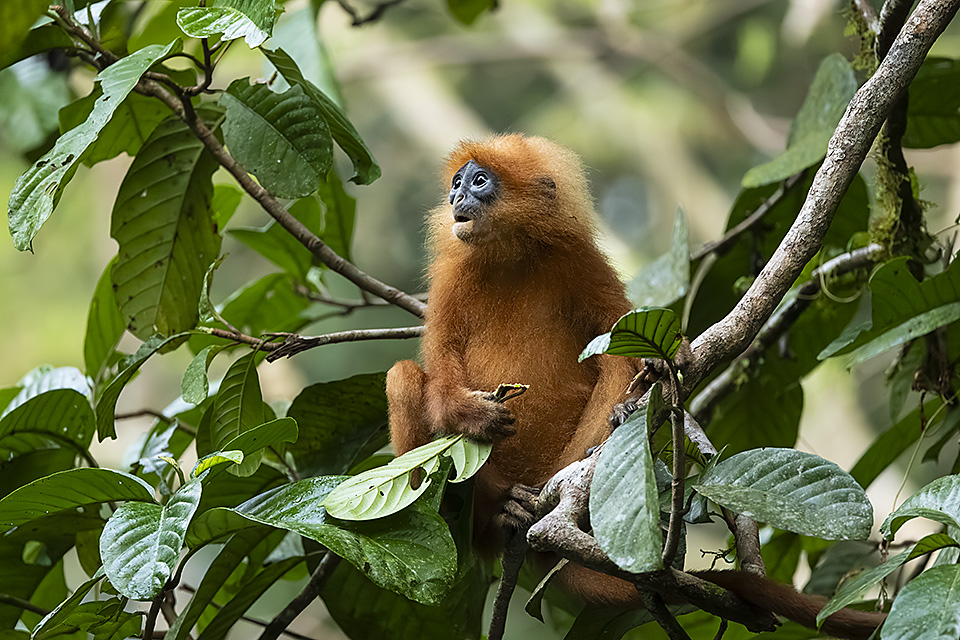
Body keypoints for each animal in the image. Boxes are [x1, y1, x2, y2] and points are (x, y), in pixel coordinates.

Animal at [385, 134, 885, 639]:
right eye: (457, 182)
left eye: (479, 181)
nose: (456, 196)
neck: (509, 256)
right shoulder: (452, 278)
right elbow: (442, 375)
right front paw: (474, 415)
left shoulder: (577, 259)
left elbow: (621, 339)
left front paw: (667, 361)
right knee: (402, 376)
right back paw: (497, 507)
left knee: (610, 368)